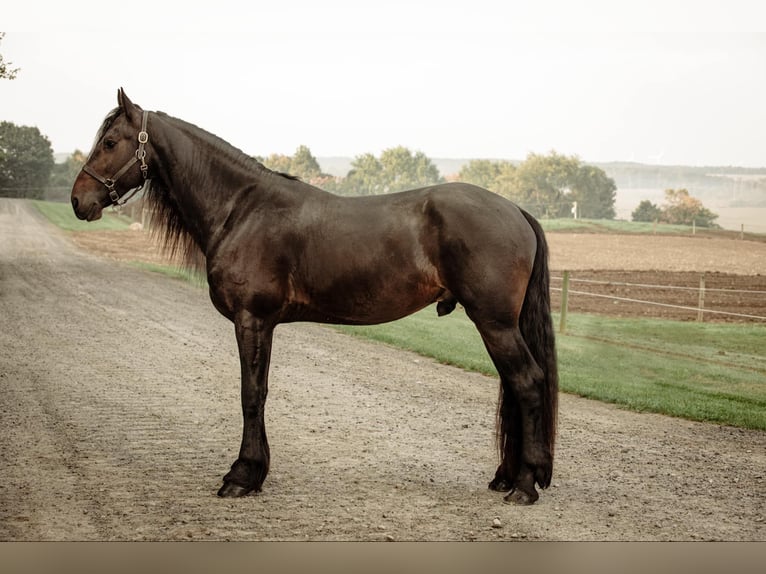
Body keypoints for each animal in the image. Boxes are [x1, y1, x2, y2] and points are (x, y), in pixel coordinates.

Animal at [70, 88, 560, 506]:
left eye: (110, 141)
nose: (78, 200)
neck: (242, 209)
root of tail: (515, 210)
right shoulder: (261, 324)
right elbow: (259, 391)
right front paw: (256, 471)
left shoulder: (252, 320)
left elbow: (251, 393)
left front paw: (241, 475)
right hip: (497, 324)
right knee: (514, 388)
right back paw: (507, 477)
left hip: (494, 323)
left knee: (527, 383)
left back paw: (524, 486)